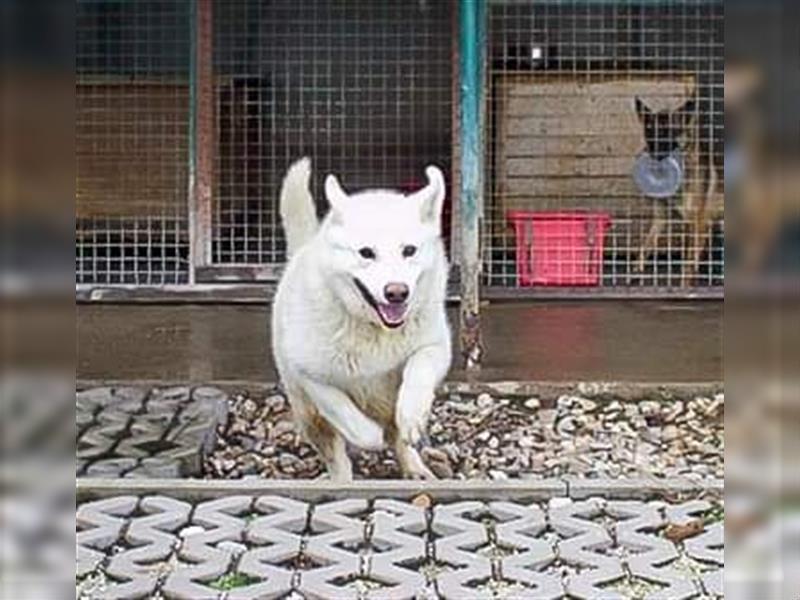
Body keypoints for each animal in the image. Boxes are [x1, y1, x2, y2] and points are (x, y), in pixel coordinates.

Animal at [272, 157, 454, 480]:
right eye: (366, 253)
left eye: (409, 250)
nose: (397, 293)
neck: (376, 330)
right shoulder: (311, 377)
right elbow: (351, 421)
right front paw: (370, 435)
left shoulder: (436, 348)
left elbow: (418, 368)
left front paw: (411, 414)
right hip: (309, 417)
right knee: (337, 456)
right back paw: (344, 479)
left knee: (400, 440)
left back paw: (415, 468)